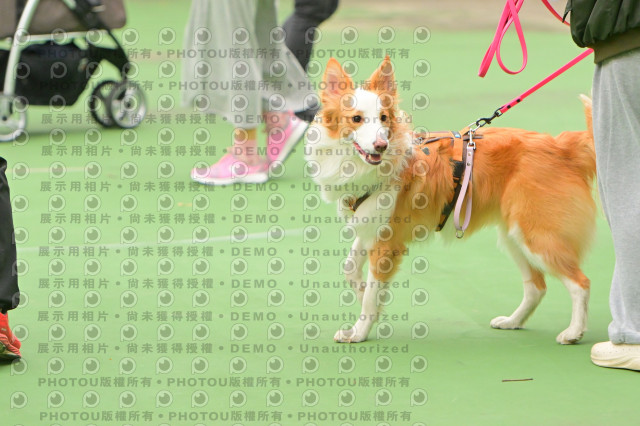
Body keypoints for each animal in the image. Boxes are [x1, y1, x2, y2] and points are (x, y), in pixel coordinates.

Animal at [305, 56, 596, 344]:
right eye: (356, 119)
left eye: (383, 118)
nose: (380, 146)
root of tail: (561, 147)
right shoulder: (369, 226)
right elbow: (350, 269)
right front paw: (366, 294)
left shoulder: (386, 243)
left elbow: (369, 297)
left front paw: (359, 332)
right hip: (514, 235)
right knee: (537, 286)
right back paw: (513, 322)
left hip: (536, 233)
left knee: (580, 283)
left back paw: (574, 332)